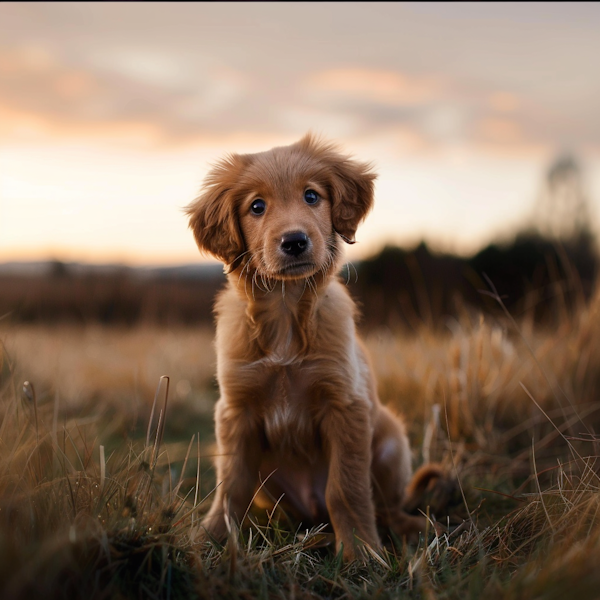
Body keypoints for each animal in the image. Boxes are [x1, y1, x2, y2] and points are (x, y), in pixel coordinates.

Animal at [186, 134, 440, 560]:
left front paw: (361, 552)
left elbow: (346, 489)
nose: (295, 241)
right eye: (257, 206)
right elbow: (231, 487)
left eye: (311, 196)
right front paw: (210, 537)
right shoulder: (236, 412)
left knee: (386, 506)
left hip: (391, 440)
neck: (286, 312)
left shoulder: (346, 406)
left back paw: (410, 528)